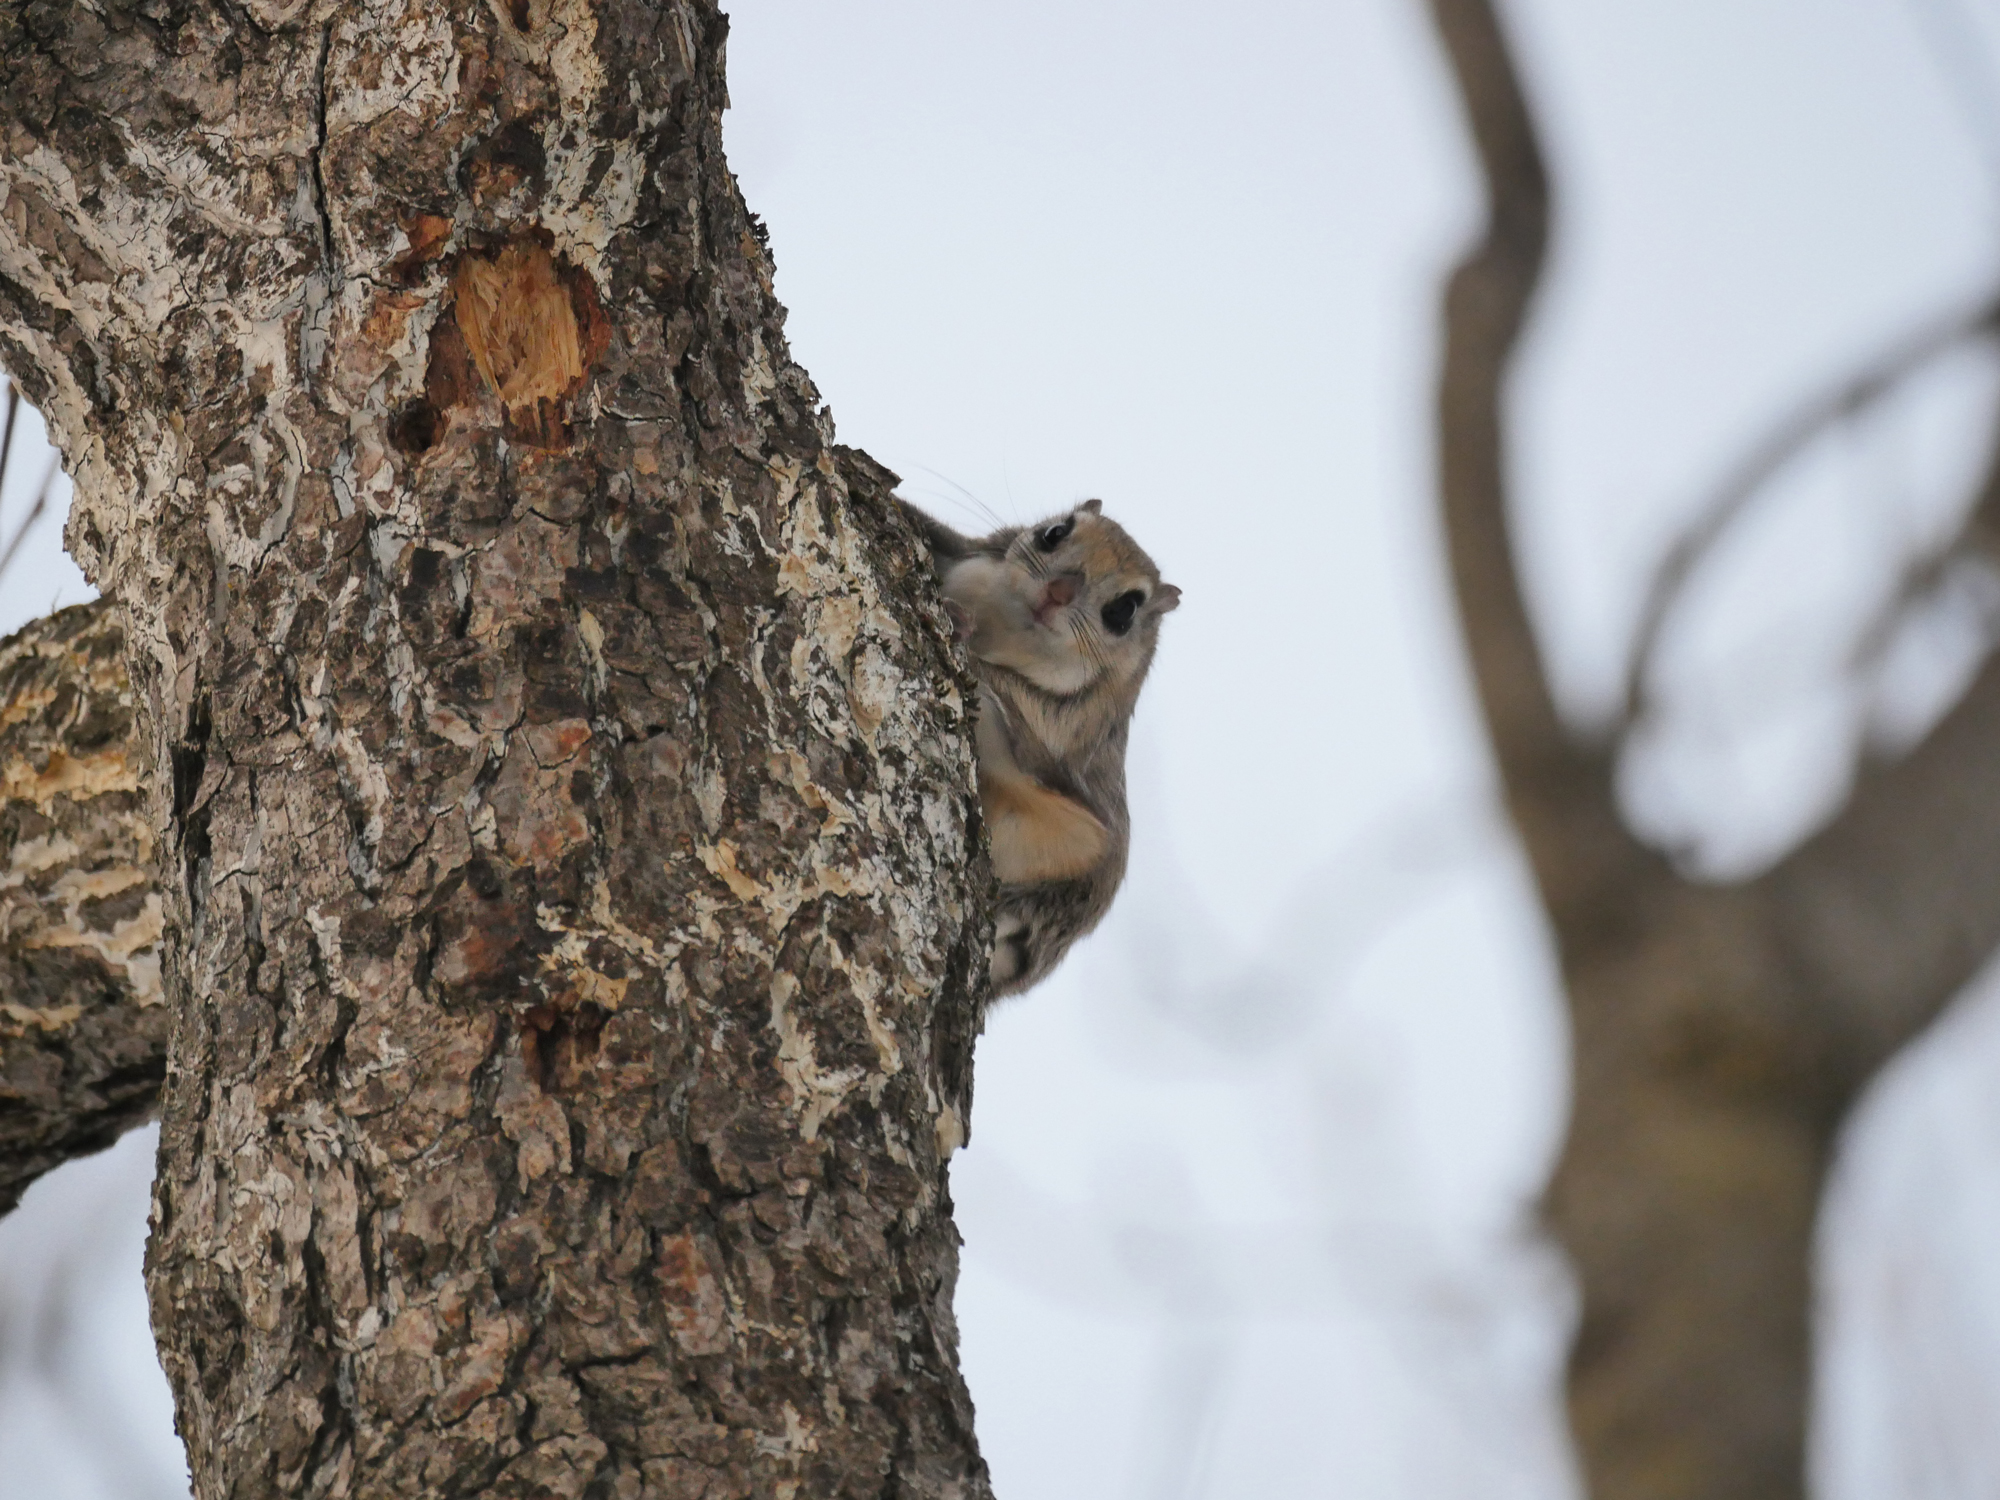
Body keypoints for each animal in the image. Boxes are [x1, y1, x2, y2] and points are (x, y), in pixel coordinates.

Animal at [900, 500, 1176, 1004]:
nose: (1058, 592)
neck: (1006, 632)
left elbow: (1011, 707)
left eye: (1125, 609)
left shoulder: (1066, 734)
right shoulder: (974, 551)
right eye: (1053, 533)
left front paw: (960, 626)